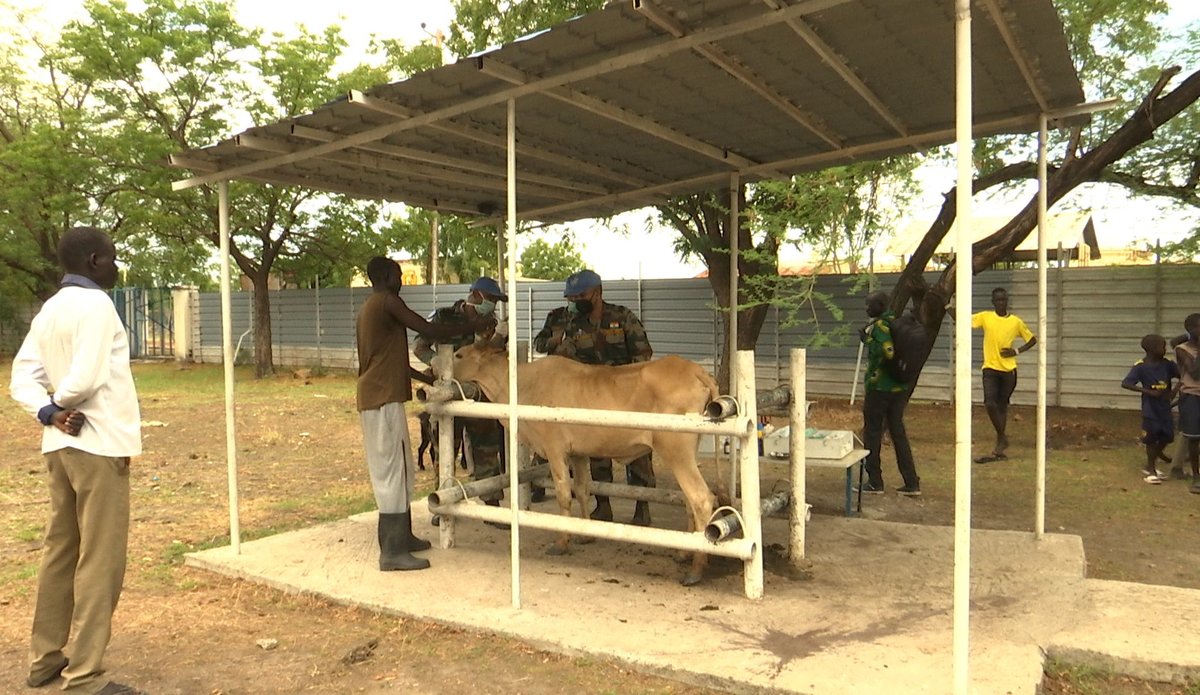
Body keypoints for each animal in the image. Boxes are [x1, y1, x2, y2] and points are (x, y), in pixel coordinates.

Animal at [444, 343, 715, 588]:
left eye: (459, 355)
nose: (438, 371)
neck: (521, 383)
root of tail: (695, 370)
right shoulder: (579, 454)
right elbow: (583, 489)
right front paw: (584, 534)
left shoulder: (555, 450)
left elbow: (565, 495)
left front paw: (562, 542)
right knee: (689, 501)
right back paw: (684, 553)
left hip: (676, 451)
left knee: (700, 498)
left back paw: (696, 571)